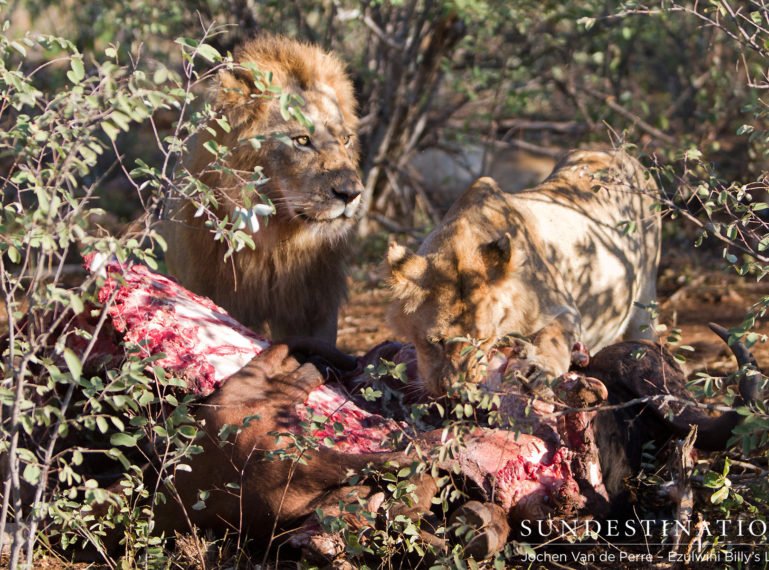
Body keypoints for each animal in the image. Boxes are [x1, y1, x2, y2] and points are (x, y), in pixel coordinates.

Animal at [388, 149, 664, 392]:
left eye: (483, 340)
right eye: (435, 341)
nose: (453, 389)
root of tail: (621, 154)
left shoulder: (565, 308)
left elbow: (555, 336)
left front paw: (541, 371)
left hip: (646, 298)